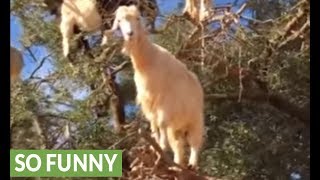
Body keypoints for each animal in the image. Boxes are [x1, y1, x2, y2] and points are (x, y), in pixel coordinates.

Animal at [109, 5, 205, 169]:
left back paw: (192, 163)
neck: (148, 59)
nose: (130, 34)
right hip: (176, 127)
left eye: (137, 18)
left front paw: (162, 146)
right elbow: (154, 126)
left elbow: (160, 123)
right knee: (178, 145)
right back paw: (176, 164)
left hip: (195, 118)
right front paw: (157, 145)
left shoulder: (166, 102)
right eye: (119, 21)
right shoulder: (149, 103)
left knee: (194, 142)